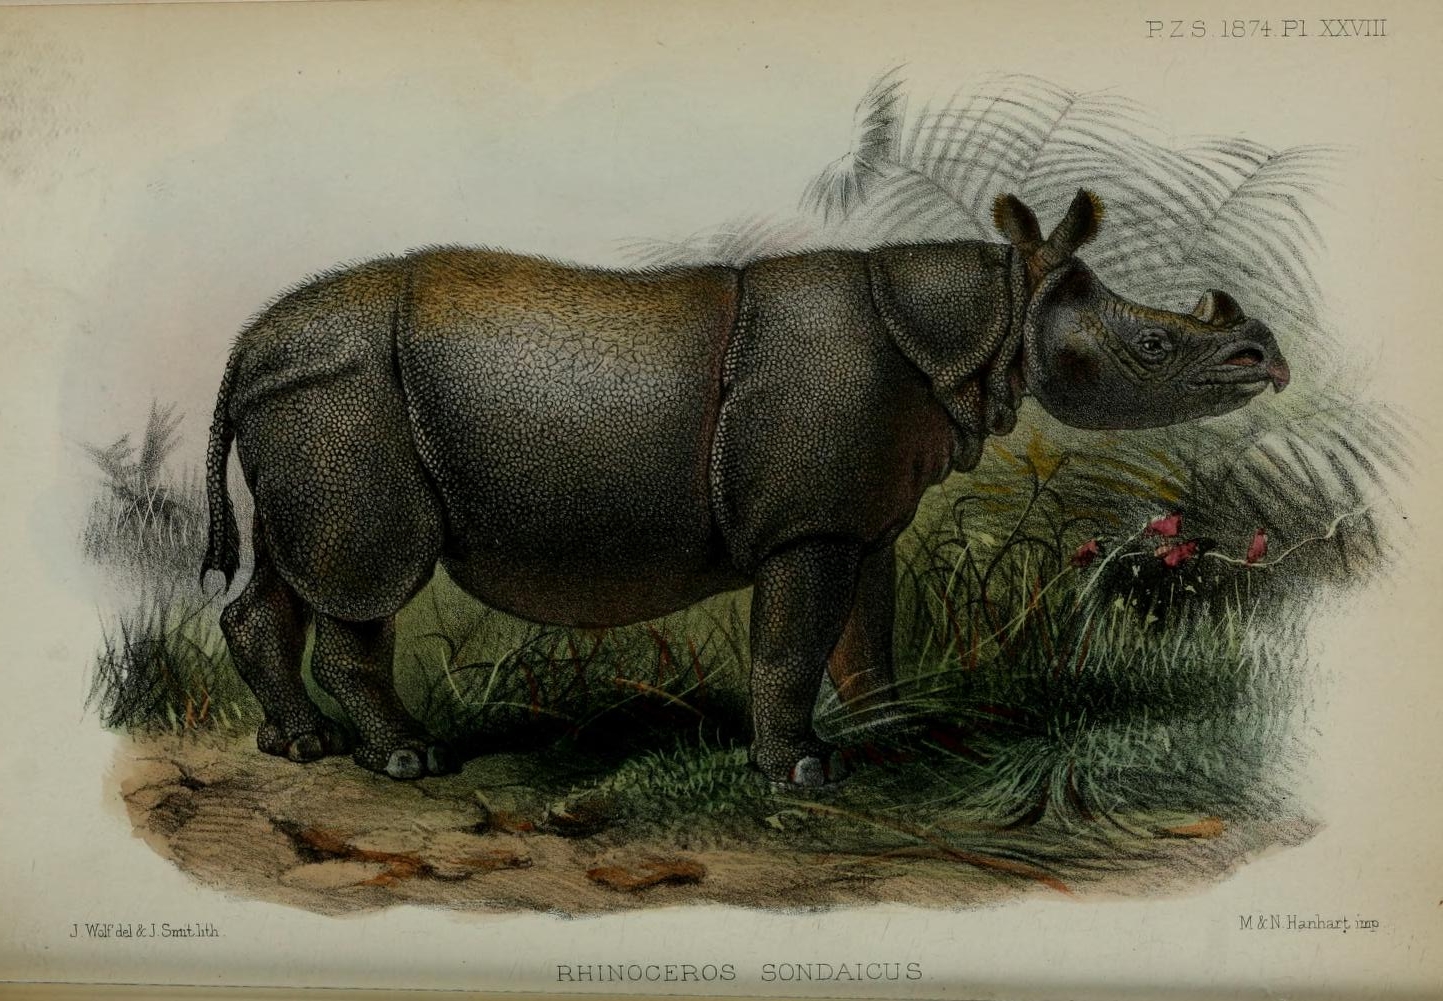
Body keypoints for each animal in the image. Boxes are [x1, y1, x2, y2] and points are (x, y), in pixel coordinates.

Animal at [201, 189, 1290, 785]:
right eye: (1152, 346)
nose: (1267, 358)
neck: (986, 319)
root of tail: (245, 349)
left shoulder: (859, 518)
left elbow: (867, 635)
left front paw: (895, 735)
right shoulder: (805, 525)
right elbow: (793, 643)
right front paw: (799, 772)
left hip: (309, 402)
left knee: (292, 570)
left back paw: (298, 746)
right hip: (345, 395)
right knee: (366, 577)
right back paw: (409, 761)